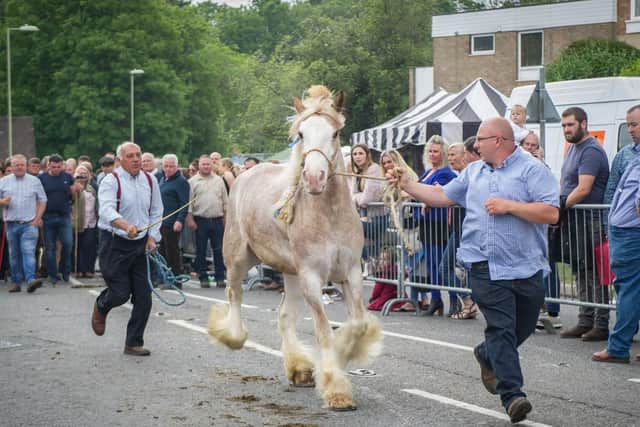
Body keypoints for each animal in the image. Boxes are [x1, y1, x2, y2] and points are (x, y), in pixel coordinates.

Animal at [208, 84, 382, 412]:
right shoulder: (312, 277)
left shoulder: (351, 273)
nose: (313, 178)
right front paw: (336, 389)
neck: (329, 215)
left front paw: (340, 356)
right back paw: (232, 336)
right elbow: (324, 331)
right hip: (237, 258)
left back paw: (299, 368)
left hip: (289, 272)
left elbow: (358, 324)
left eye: (336, 133)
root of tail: (243, 173)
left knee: (285, 315)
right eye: (301, 134)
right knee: (234, 294)